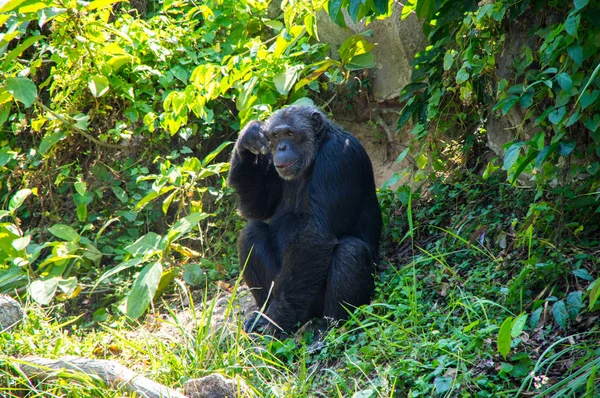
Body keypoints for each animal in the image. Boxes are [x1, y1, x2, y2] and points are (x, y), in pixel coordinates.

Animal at [227, 105, 382, 332]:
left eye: (290, 134)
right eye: (275, 136)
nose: (281, 147)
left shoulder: (338, 157)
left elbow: (314, 234)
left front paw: (276, 319)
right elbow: (258, 208)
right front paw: (249, 137)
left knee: (350, 251)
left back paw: (327, 328)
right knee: (251, 233)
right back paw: (261, 314)